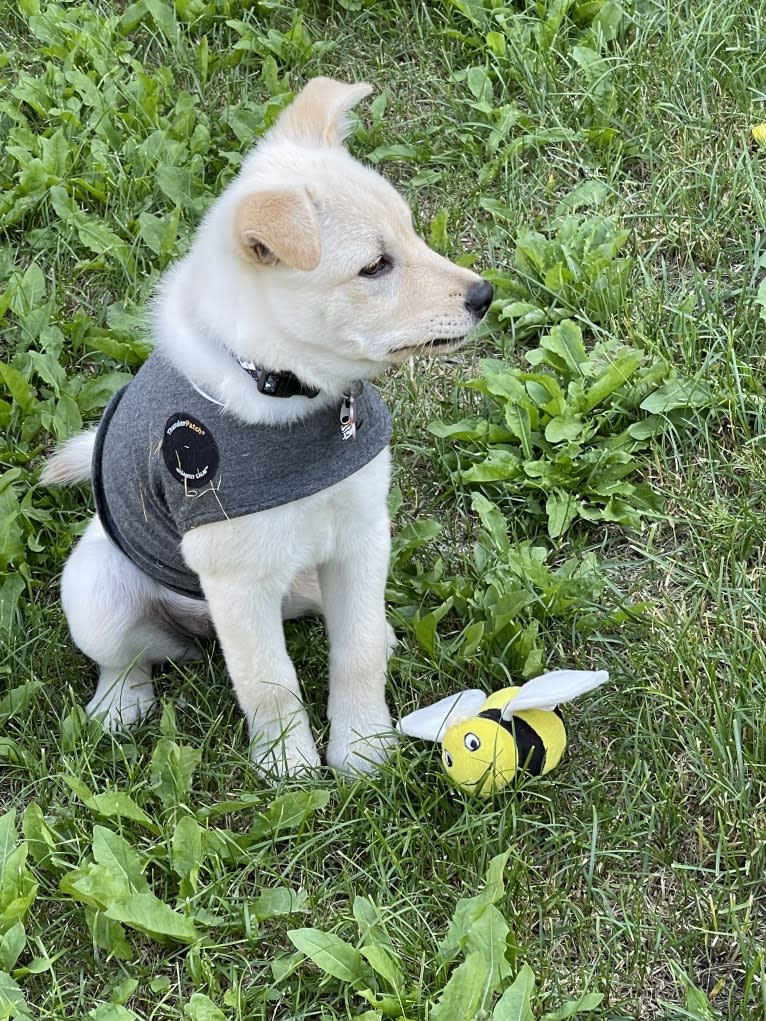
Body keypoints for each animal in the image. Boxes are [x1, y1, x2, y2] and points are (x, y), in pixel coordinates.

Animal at [43, 77, 498, 771]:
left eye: (413, 234)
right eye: (374, 267)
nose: (484, 296)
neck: (289, 393)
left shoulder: (362, 536)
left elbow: (356, 652)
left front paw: (363, 749)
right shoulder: (237, 582)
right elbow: (268, 683)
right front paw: (291, 769)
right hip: (98, 589)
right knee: (129, 660)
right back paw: (120, 707)